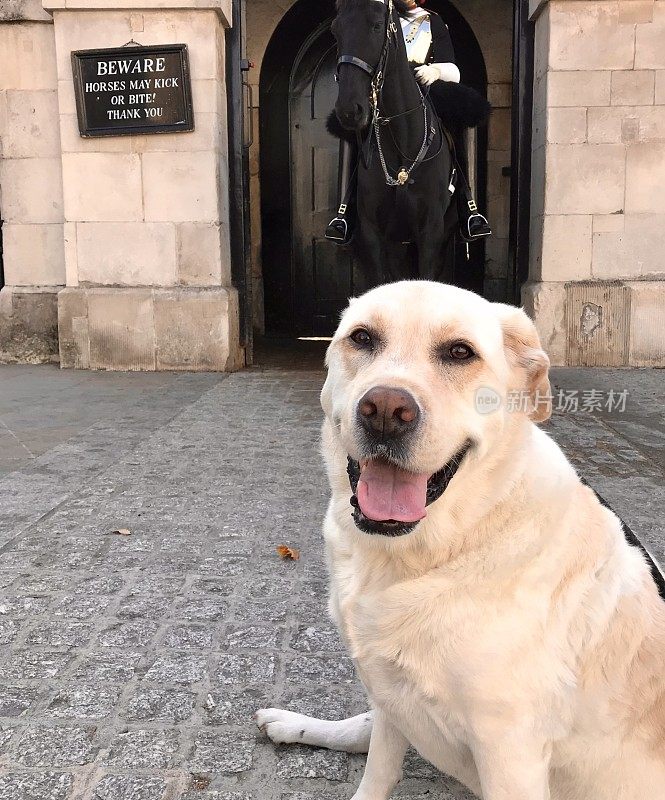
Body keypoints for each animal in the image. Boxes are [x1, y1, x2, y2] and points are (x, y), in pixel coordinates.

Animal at [255, 282, 664, 800]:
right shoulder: (391, 690)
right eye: (362, 338)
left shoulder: (510, 754)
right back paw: (293, 723)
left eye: (459, 352)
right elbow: (378, 771)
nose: (385, 411)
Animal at [332, 0, 488, 286]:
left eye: (377, 25)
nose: (349, 110)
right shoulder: (374, 233)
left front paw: (426, 72)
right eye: (334, 30)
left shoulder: (431, 232)